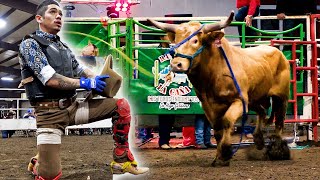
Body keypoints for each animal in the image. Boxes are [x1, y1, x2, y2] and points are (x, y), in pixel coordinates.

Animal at [149, 11, 292, 166]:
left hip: (281, 97)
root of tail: (278, 52)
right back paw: (259, 139)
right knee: (262, 112)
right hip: (254, 99)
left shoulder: (239, 101)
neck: (214, 73)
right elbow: (217, 130)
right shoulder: (208, 105)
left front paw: (225, 152)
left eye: (195, 41)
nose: (176, 64)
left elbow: (227, 121)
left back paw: (277, 150)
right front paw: (218, 157)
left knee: (279, 121)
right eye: (176, 41)